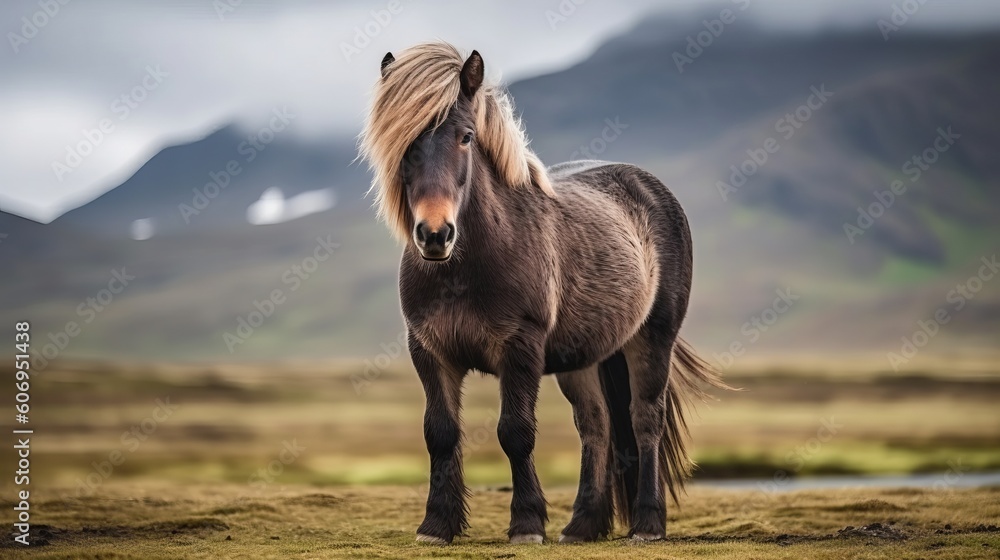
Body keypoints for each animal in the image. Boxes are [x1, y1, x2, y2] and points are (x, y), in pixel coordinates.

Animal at [359, 42, 728, 545]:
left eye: (466, 137)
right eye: (405, 142)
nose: (435, 235)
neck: (465, 268)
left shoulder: (521, 347)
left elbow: (515, 432)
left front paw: (527, 524)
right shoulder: (430, 350)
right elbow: (440, 434)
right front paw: (436, 525)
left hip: (653, 338)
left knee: (644, 420)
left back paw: (648, 524)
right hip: (583, 359)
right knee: (596, 426)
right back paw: (582, 525)